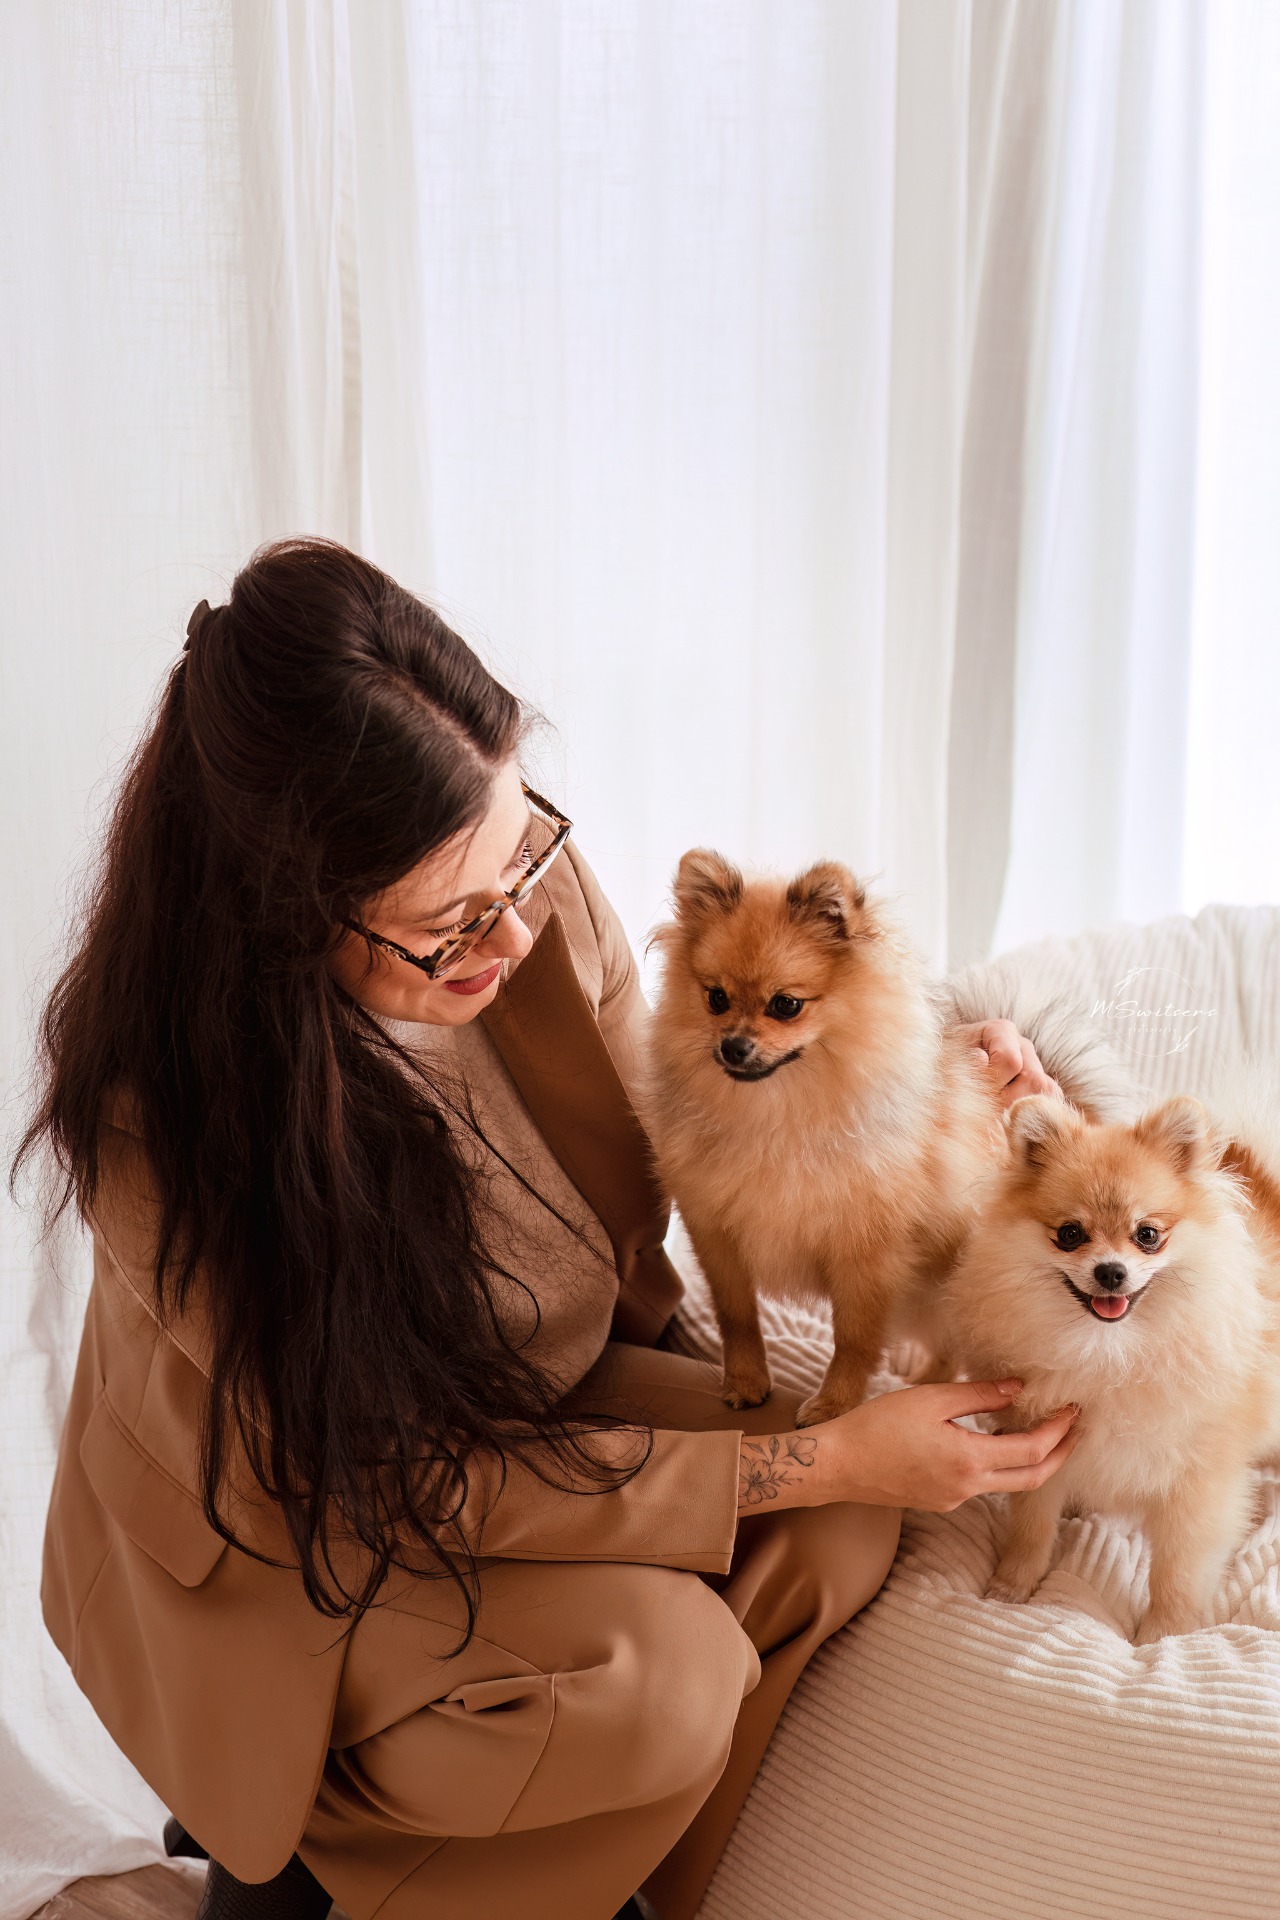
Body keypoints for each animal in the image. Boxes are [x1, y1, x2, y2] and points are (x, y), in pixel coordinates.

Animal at [642, 849, 1007, 1426]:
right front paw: (746, 1381)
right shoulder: (716, 1232)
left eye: (786, 1005)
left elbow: (853, 1337)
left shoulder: (864, 1253)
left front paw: (836, 1405)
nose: (733, 1046)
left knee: (952, 1344)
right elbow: (736, 1316)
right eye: (716, 998)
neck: (778, 1112)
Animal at [943, 1091, 1280, 1641]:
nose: (1110, 1271)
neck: (1109, 1350)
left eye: (1147, 1234)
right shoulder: (1044, 1442)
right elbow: (1031, 1525)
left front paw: (1162, 1634)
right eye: (1069, 1234)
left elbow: (1178, 1571)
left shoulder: (1199, 1481)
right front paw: (1011, 1587)